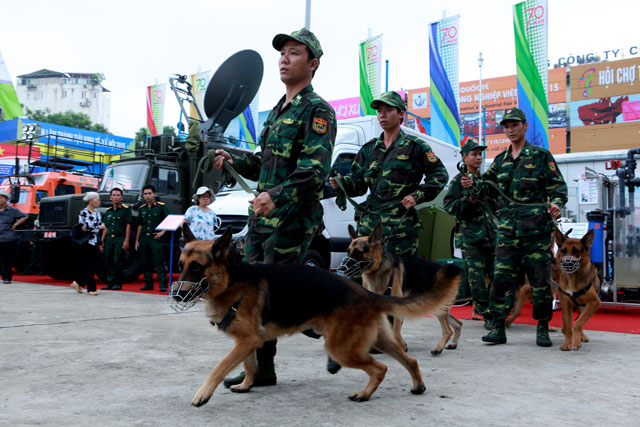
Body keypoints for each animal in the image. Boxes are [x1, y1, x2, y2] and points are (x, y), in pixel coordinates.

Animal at [348, 222, 462, 356]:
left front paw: (401, 347)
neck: (378, 270)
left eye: (358, 252)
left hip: (438, 307)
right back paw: (453, 344)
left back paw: (438, 348)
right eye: (348, 252)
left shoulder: (397, 308)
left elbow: (395, 331)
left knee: (448, 330)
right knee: (458, 323)